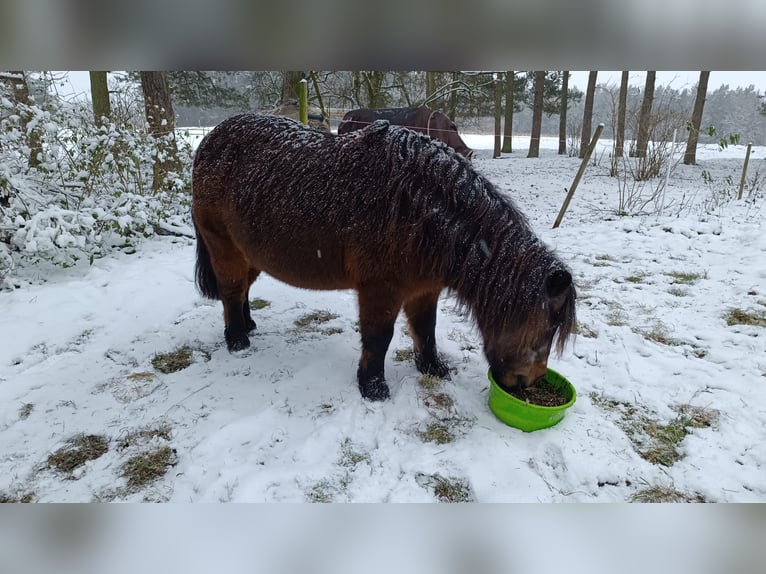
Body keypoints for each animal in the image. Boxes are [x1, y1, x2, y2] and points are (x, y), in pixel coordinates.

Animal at [192, 115, 576, 402]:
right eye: (548, 327)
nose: (527, 382)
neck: (421, 209)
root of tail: (210, 141)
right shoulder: (380, 289)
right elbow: (379, 337)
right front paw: (373, 387)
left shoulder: (425, 288)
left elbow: (425, 329)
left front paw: (433, 368)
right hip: (223, 246)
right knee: (231, 290)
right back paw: (237, 340)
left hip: (251, 253)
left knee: (241, 289)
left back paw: (248, 326)